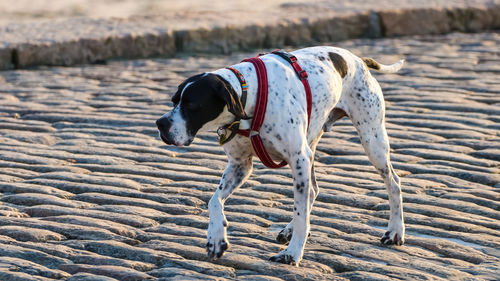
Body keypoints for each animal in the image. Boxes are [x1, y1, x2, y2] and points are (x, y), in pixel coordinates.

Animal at [156, 46, 406, 264]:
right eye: (174, 100)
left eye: (192, 104)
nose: (160, 124)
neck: (250, 95)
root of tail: (358, 60)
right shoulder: (240, 165)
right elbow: (214, 201)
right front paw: (216, 238)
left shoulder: (297, 159)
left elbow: (301, 214)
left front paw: (292, 254)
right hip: (311, 147)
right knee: (313, 190)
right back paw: (288, 230)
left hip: (371, 140)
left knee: (393, 182)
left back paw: (395, 231)